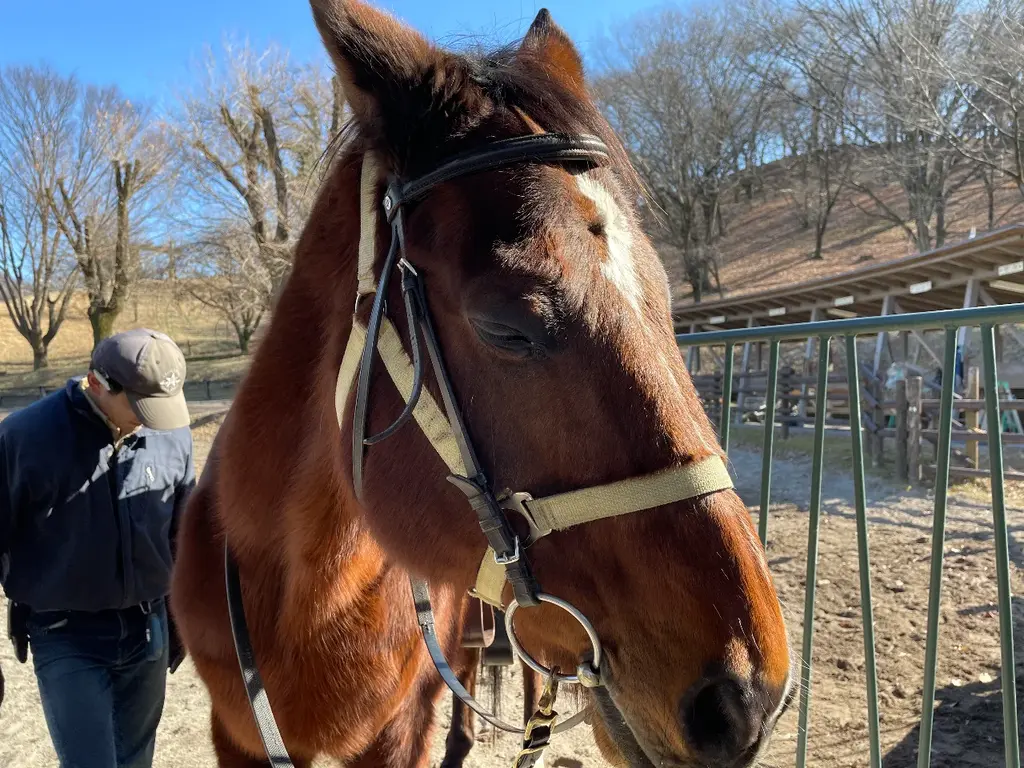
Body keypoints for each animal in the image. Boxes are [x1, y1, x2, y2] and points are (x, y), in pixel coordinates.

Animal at [169, 1, 795, 766]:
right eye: (505, 327)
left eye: (665, 299)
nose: (749, 695)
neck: (301, 591)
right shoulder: (235, 734)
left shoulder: (399, 730)